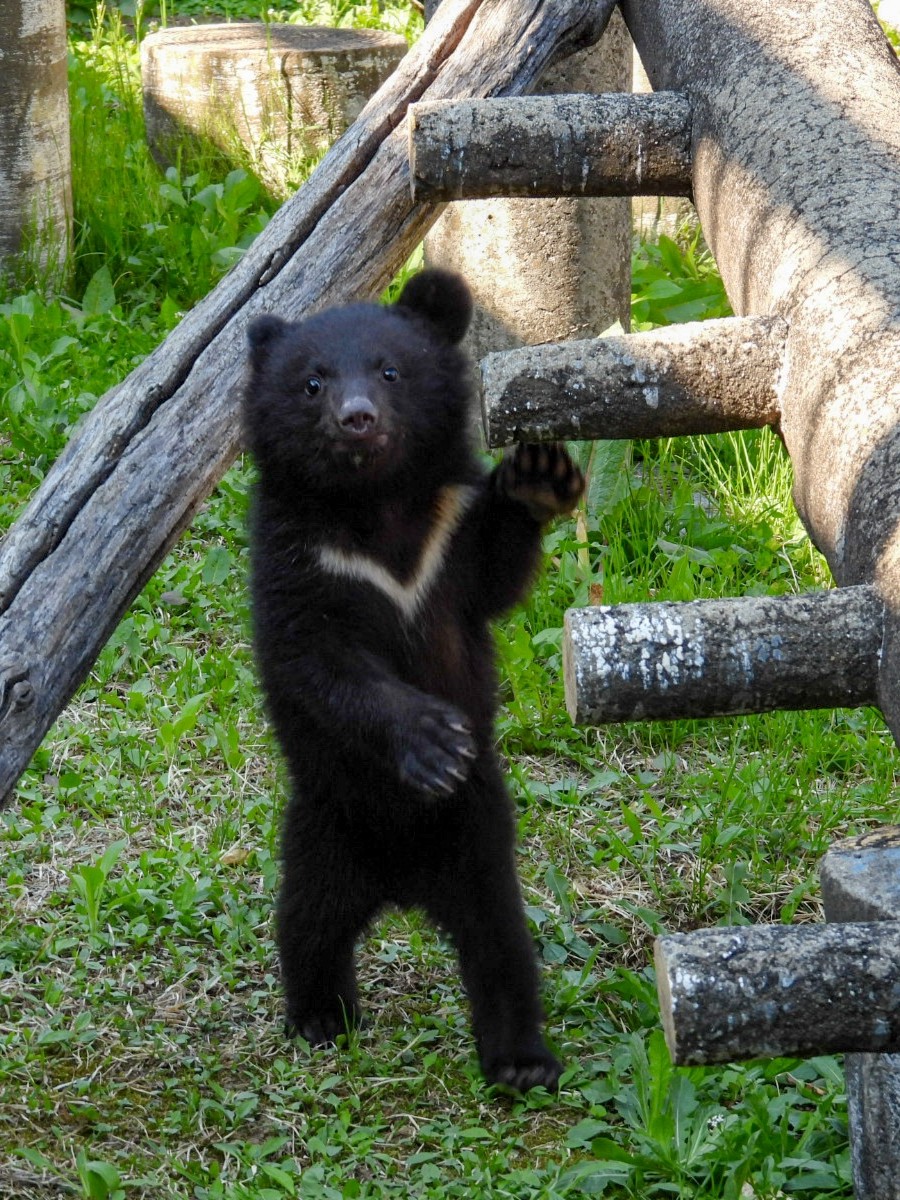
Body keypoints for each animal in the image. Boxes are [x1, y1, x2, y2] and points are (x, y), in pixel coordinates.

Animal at [243, 269, 584, 1091]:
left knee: (500, 945)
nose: (357, 420)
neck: (373, 506)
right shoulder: (300, 560)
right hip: (325, 825)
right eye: (312, 382)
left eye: (390, 372)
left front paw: (541, 474)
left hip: (479, 840)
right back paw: (321, 1017)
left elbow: (497, 572)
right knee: (307, 923)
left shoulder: (448, 538)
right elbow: (321, 663)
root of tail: (400, 885)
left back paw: (521, 1060)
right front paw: (433, 743)